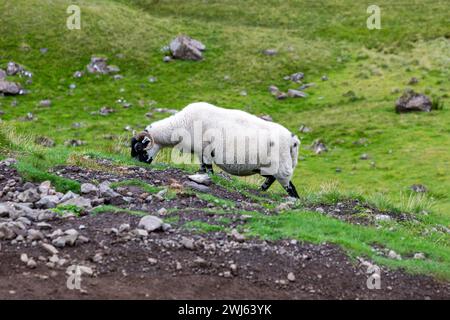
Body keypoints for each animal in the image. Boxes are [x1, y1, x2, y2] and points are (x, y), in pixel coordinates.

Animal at [130, 102, 300, 198]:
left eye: (139, 148)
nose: (134, 163)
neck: (182, 124)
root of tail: (293, 140)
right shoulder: (200, 153)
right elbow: (202, 168)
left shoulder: (205, 150)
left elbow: (209, 169)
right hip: (270, 167)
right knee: (271, 178)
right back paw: (261, 189)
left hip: (282, 167)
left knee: (290, 188)